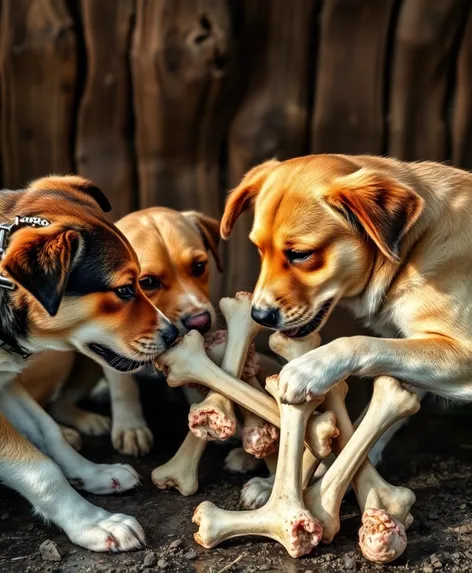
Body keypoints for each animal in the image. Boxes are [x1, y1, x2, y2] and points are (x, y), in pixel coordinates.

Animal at [0, 174, 179, 548]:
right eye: (124, 290)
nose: (175, 335)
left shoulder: (5, 382)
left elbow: (48, 432)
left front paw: (93, 474)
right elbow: (39, 469)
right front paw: (93, 522)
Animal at [19, 208, 222, 454]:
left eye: (199, 267)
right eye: (148, 282)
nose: (201, 322)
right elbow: (124, 386)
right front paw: (131, 428)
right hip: (60, 357)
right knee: (47, 405)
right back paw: (70, 432)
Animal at [219, 155, 472, 456]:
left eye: (300, 254)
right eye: (259, 249)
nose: (259, 316)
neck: (415, 248)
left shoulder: (460, 352)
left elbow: (361, 344)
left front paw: (310, 368)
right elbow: (370, 428)